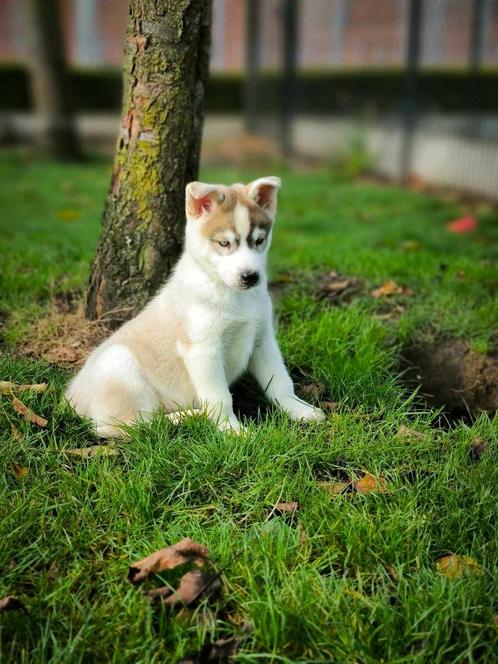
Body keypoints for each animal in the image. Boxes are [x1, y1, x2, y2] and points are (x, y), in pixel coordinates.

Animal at [65, 176, 322, 436]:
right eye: (224, 243)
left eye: (259, 241)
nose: (250, 277)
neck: (231, 294)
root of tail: (69, 399)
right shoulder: (202, 349)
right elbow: (221, 399)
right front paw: (233, 431)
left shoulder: (263, 339)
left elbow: (280, 382)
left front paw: (300, 410)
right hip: (119, 364)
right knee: (132, 425)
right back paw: (189, 416)